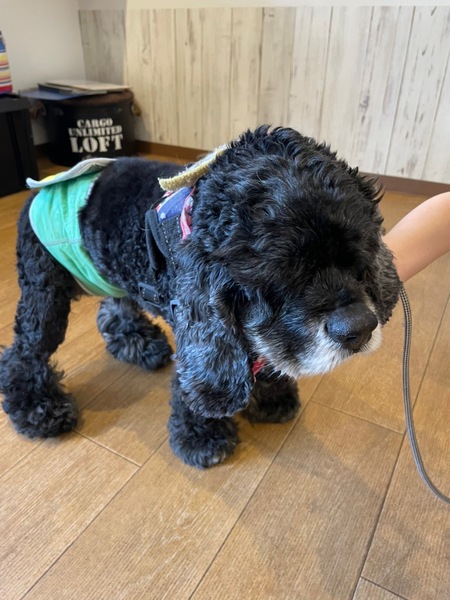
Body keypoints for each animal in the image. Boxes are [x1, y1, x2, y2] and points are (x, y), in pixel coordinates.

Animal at [0, 126, 400, 468]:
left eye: (358, 257)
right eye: (281, 273)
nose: (359, 328)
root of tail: (38, 188)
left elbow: (262, 352)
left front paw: (272, 396)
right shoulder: (202, 316)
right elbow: (210, 370)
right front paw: (202, 436)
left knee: (115, 306)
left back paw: (138, 344)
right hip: (45, 288)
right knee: (25, 349)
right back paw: (40, 409)